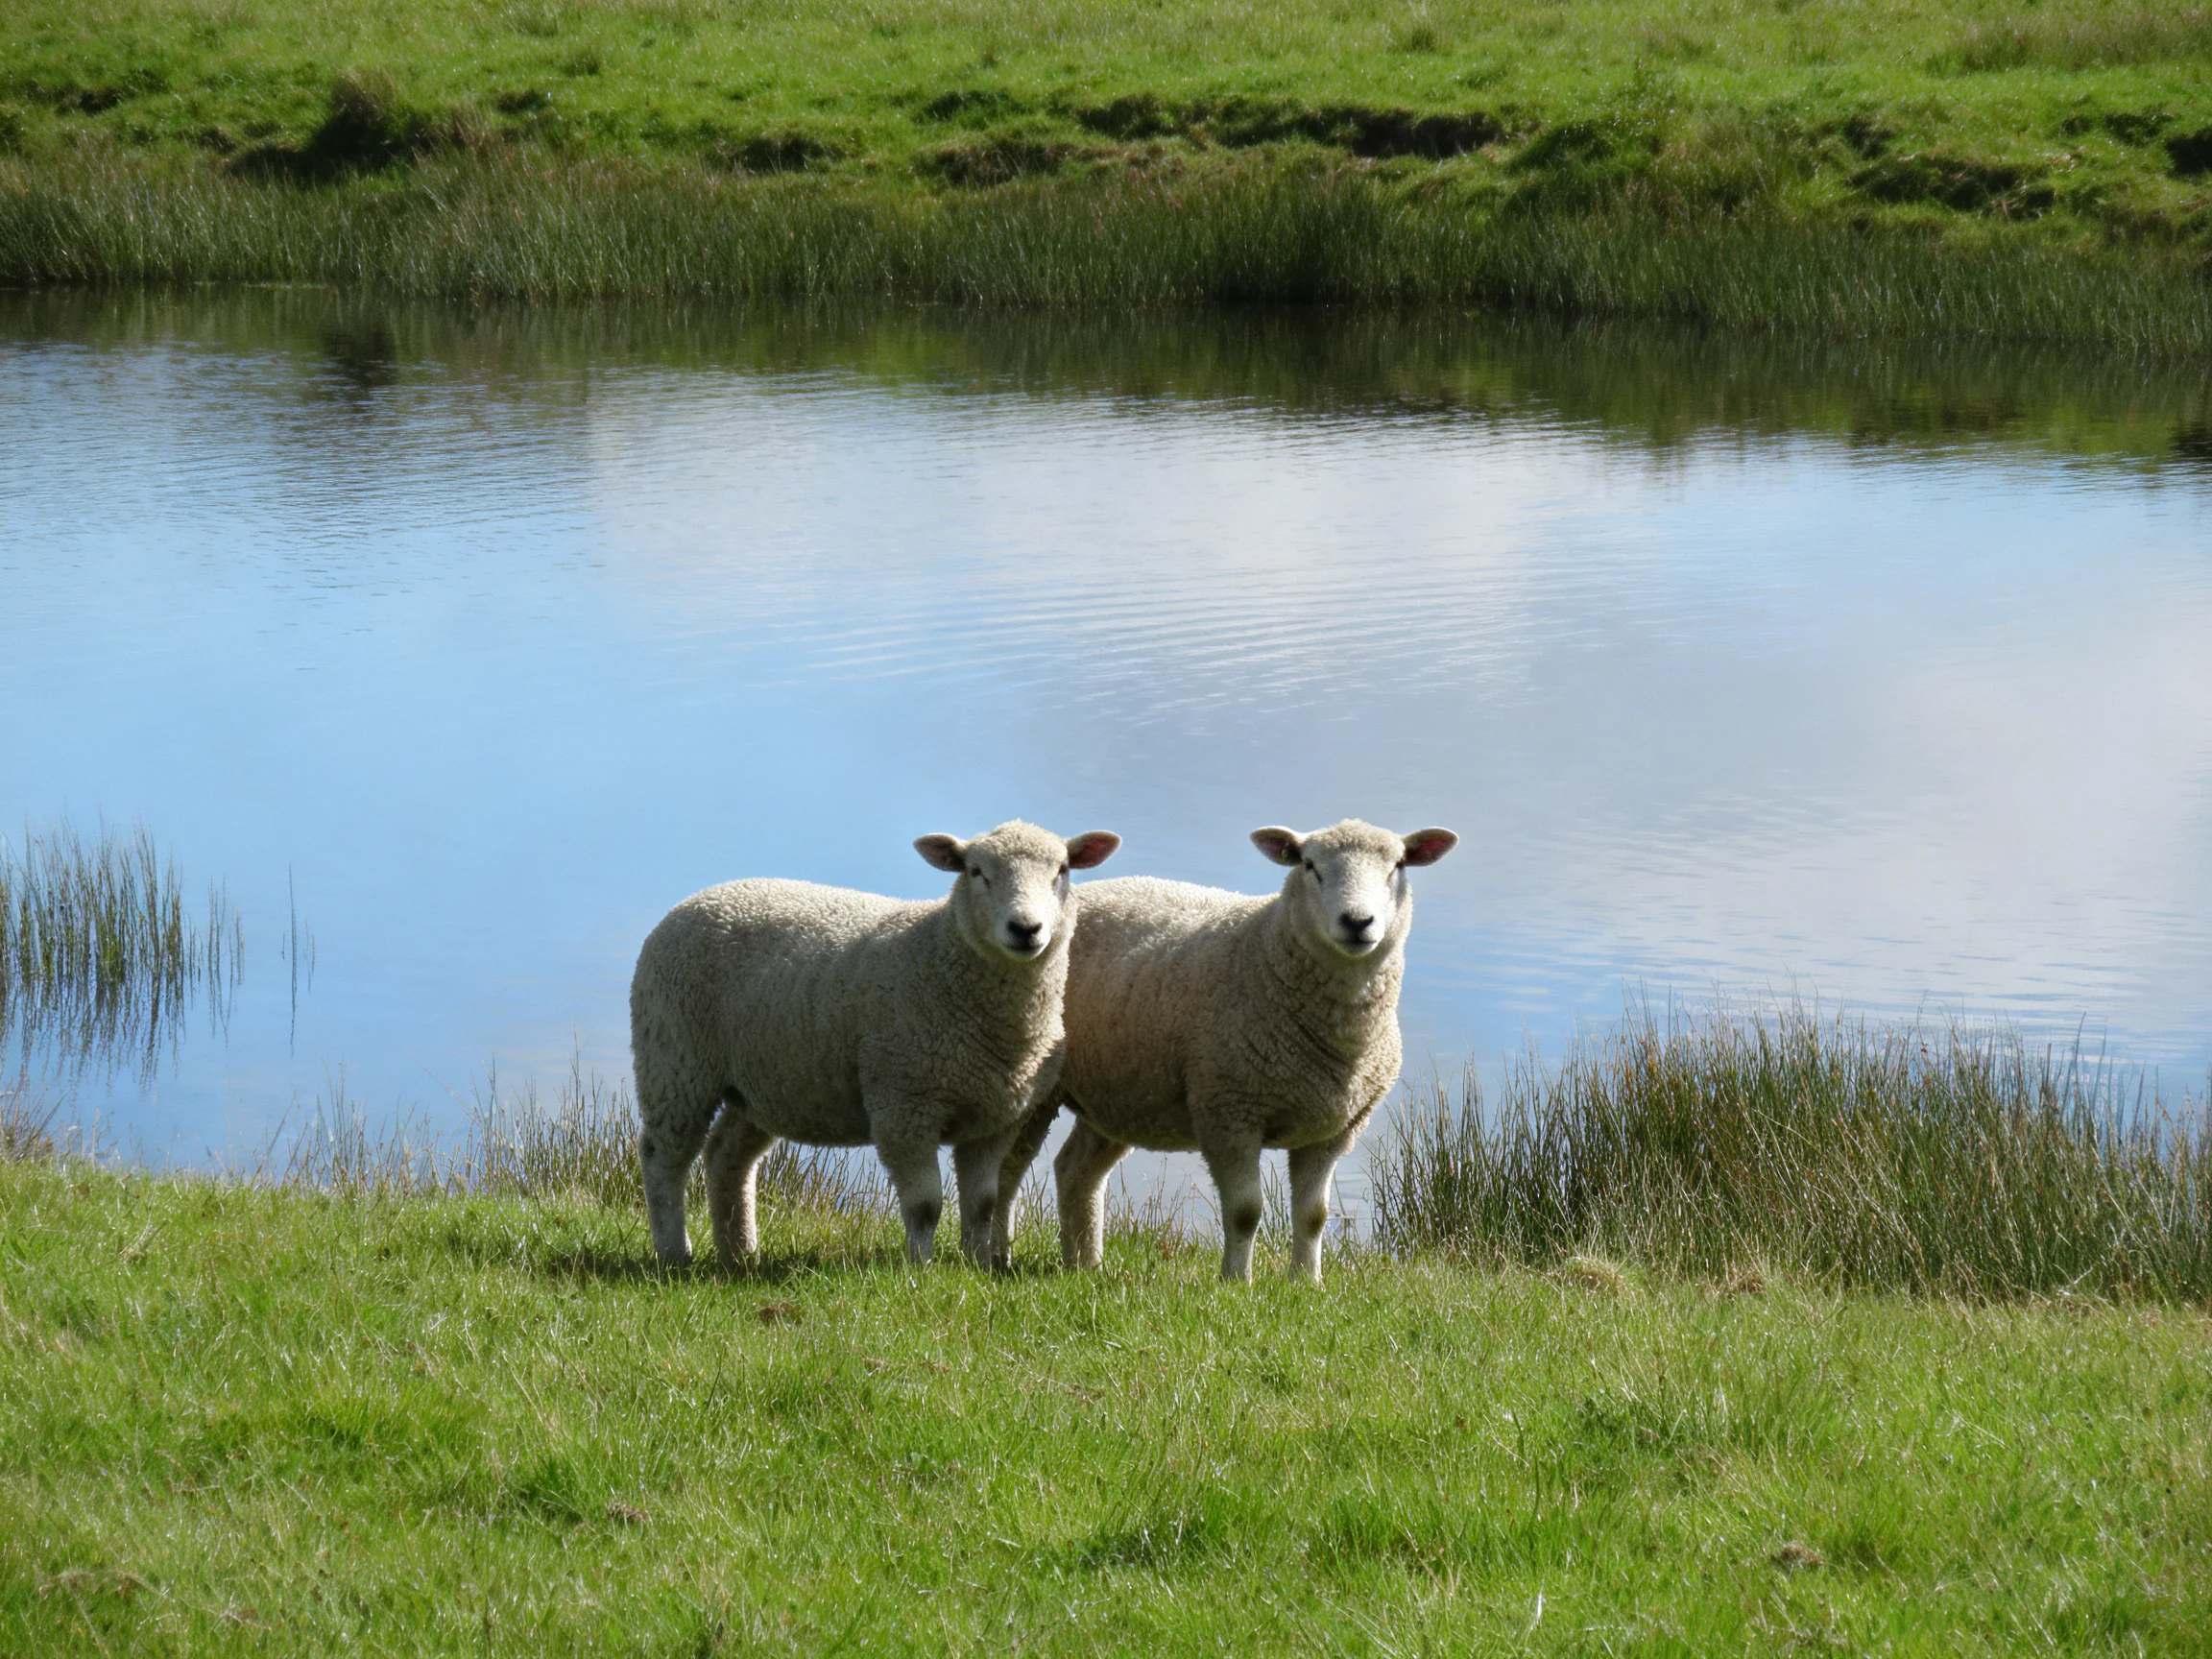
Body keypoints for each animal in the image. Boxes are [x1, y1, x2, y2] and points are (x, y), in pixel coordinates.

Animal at [631, 821, 1121, 1270]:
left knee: (726, 1156)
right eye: (976, 871)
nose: (1025, 928)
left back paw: (739, 1253)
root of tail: (699, 898)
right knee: (662, 1158)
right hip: (674, 1062)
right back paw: (674, 1253)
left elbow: (983, 1203)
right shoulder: (904, 1107)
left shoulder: (996, 1116)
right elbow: (925, 1205)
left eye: (1062, 870)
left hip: (763, 1081)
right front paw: (920, 1268)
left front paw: (978, 1266)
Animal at [991, 820, 1456, 1285]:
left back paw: (1085, 1266)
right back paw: (997, 1256)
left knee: (1076, 1171)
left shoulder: (1332, 1131)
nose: (1358, 922)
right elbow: (1246, 1211)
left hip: (1120, 1092)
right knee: (1007, 1170)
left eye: (1397, 866)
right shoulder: (1228, 1112)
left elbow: (1314, 1216)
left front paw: (1307, 1283)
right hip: (1035, 1084)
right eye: (1310, 866)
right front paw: (1236, 1282)